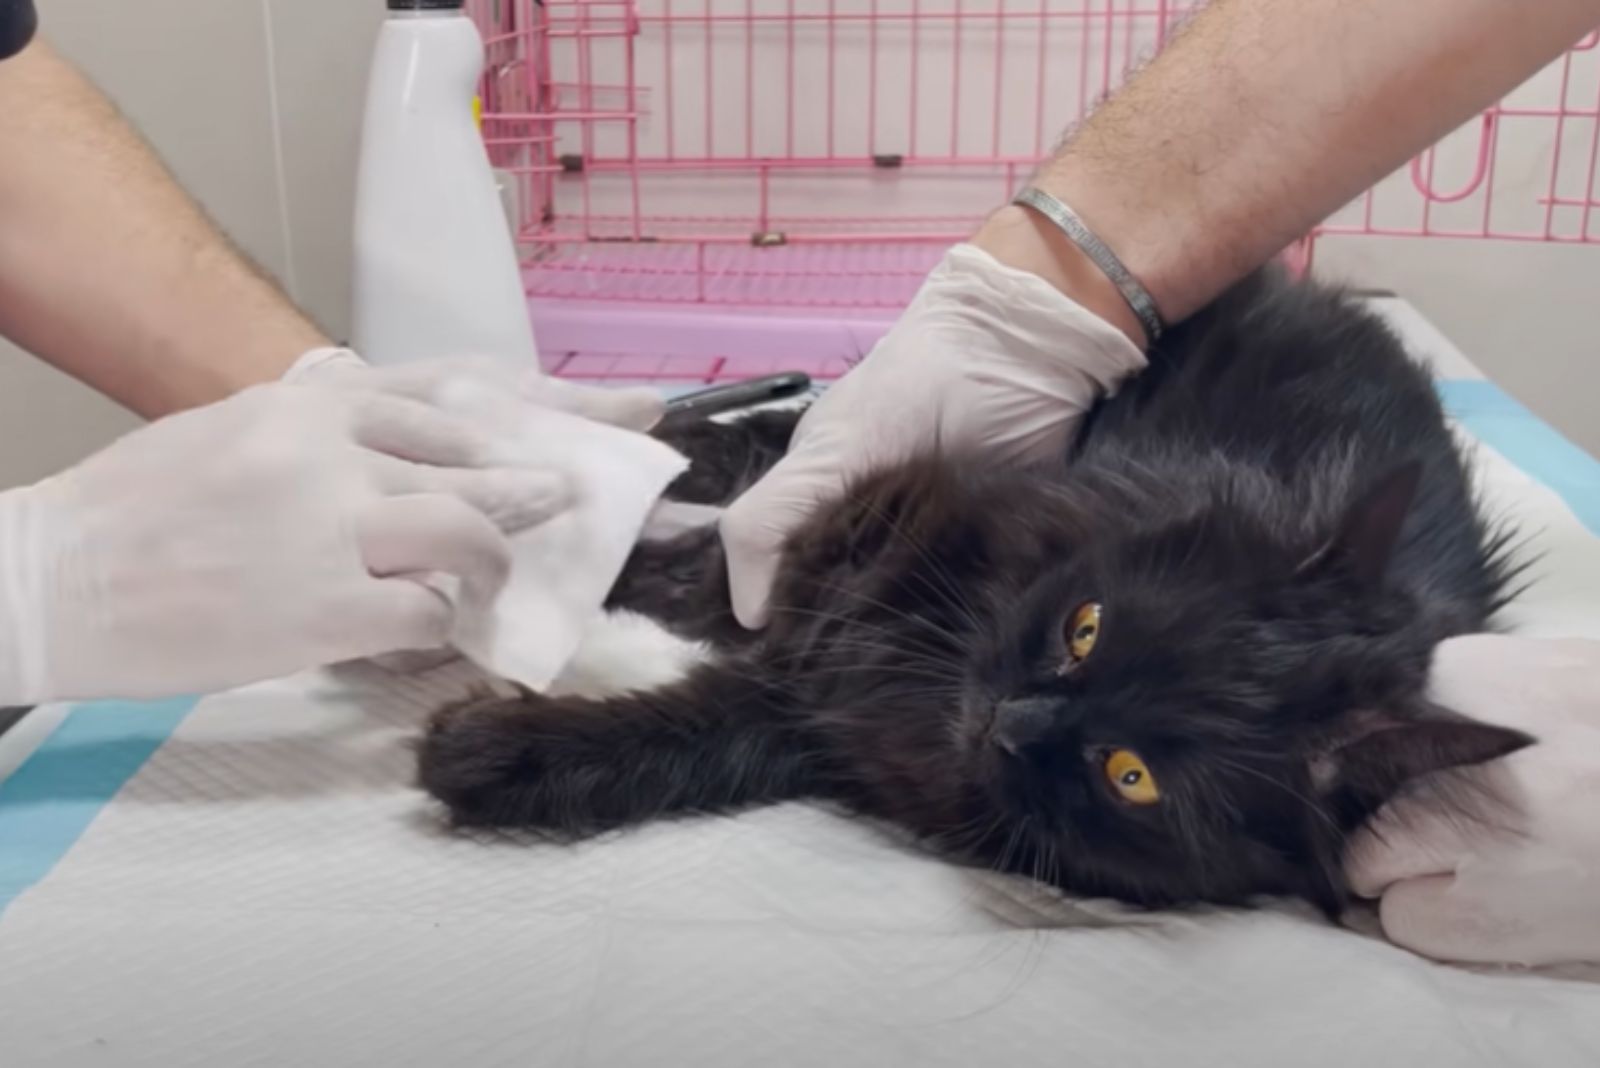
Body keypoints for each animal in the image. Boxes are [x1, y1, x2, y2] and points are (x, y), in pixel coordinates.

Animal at [419, 271, 1529, 914]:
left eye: (1130, 775)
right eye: (1085, 628)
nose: (1011, 720)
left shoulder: (815, 716)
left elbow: (685, 737)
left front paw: (491, 752)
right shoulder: (857, 540)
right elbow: (705, 567)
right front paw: (519, 546)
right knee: (757, 437)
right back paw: (619, 433)